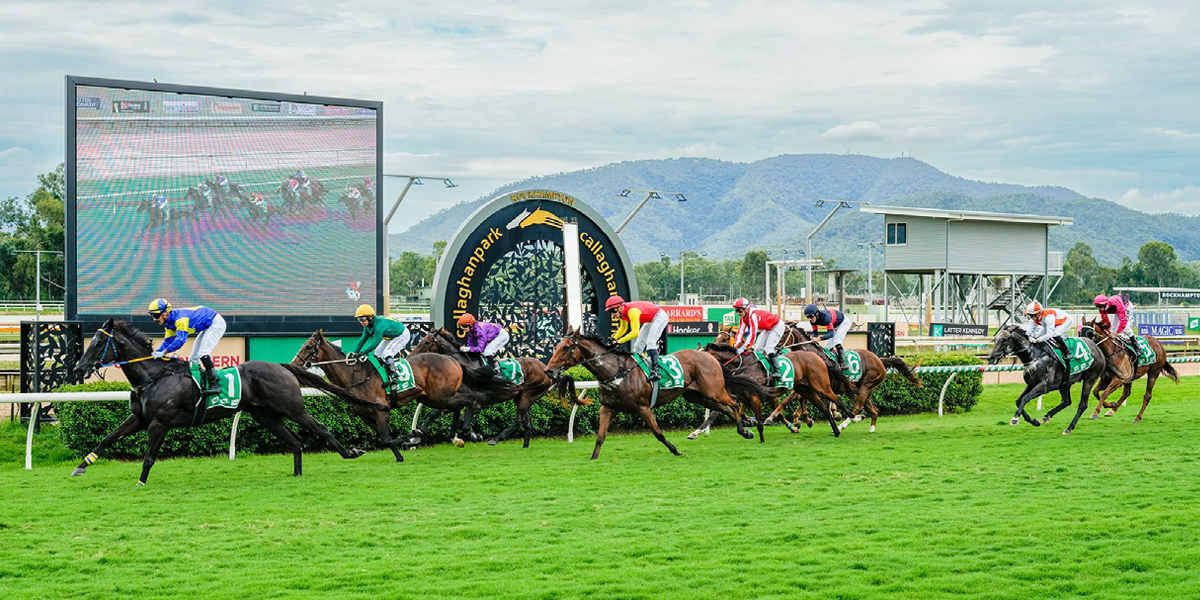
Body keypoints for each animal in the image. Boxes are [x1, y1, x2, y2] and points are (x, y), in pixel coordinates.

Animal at [70, 321, 367, 484]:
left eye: (98, 344)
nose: (78, 368)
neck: (153, 376)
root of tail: (281, 366)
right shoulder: (139, 418)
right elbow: (108, 438)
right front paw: (81, 466)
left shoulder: (159, 423)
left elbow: (149, 456)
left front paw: (141, 482)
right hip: (266, 416)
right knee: (295, 441)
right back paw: (297, 474)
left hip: (292, 408)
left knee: (321, 430)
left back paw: (350, 453)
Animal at [410, 328, 554, 446]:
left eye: (426, 342)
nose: (410, 356)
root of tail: (544, 367)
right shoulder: (454, 398)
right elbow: (435, 413)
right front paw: (418, 435)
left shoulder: (478, 403)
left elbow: (465, 424)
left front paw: (474, 436)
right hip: (521, 397)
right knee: (527, 422)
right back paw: (525, 445)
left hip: (528, 394)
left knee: (518, 419)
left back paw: (496, 438)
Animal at [544, 328, 768, 458]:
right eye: (557, 346)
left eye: (566, 348)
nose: (549, 371)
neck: (616, 371)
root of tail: (710, 357)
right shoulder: (608, 407)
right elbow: (600, 436)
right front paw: (593, 458)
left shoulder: (642, 407)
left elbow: (658, 433)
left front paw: (675, 450)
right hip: (698, 396)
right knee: (724, 409)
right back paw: (745, 429)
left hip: (714, 391)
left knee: (732, 404)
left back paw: (747, 426)